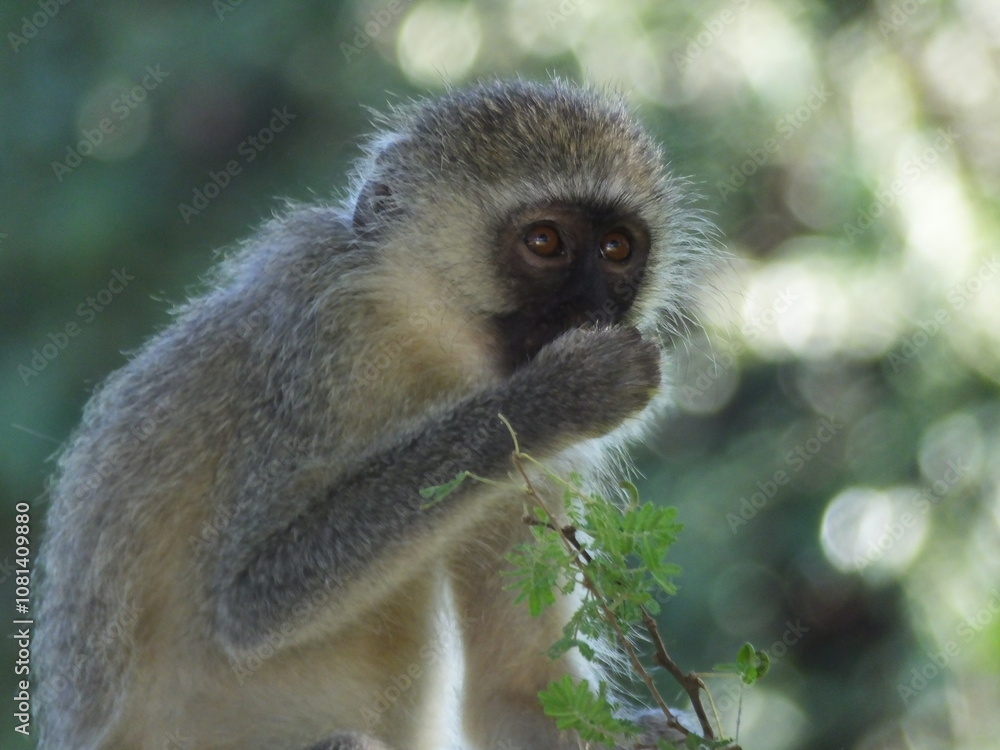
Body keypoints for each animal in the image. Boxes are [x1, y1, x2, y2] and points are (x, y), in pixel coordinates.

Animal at [34, 79, 715, 750]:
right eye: (545, 242)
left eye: (617, 248)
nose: (595, 309)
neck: (428, 340)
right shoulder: (324, 339)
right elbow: (247, 602)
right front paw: (558, 396)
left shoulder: (535, 481)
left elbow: (518, 698)